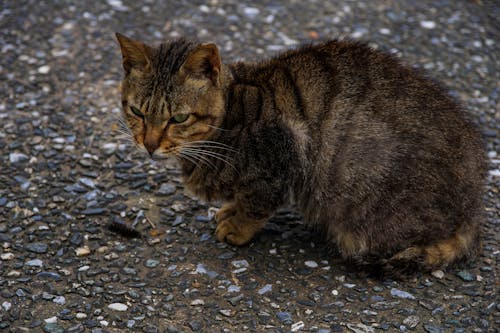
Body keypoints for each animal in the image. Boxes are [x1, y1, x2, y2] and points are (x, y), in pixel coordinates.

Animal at [116, 32, 484, 276]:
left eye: (178, 118)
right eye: (136, 112)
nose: (149, 144)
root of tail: (470, 210)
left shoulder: (281, 158)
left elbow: (256, 205)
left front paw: (237, 226)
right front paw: (229, 210)